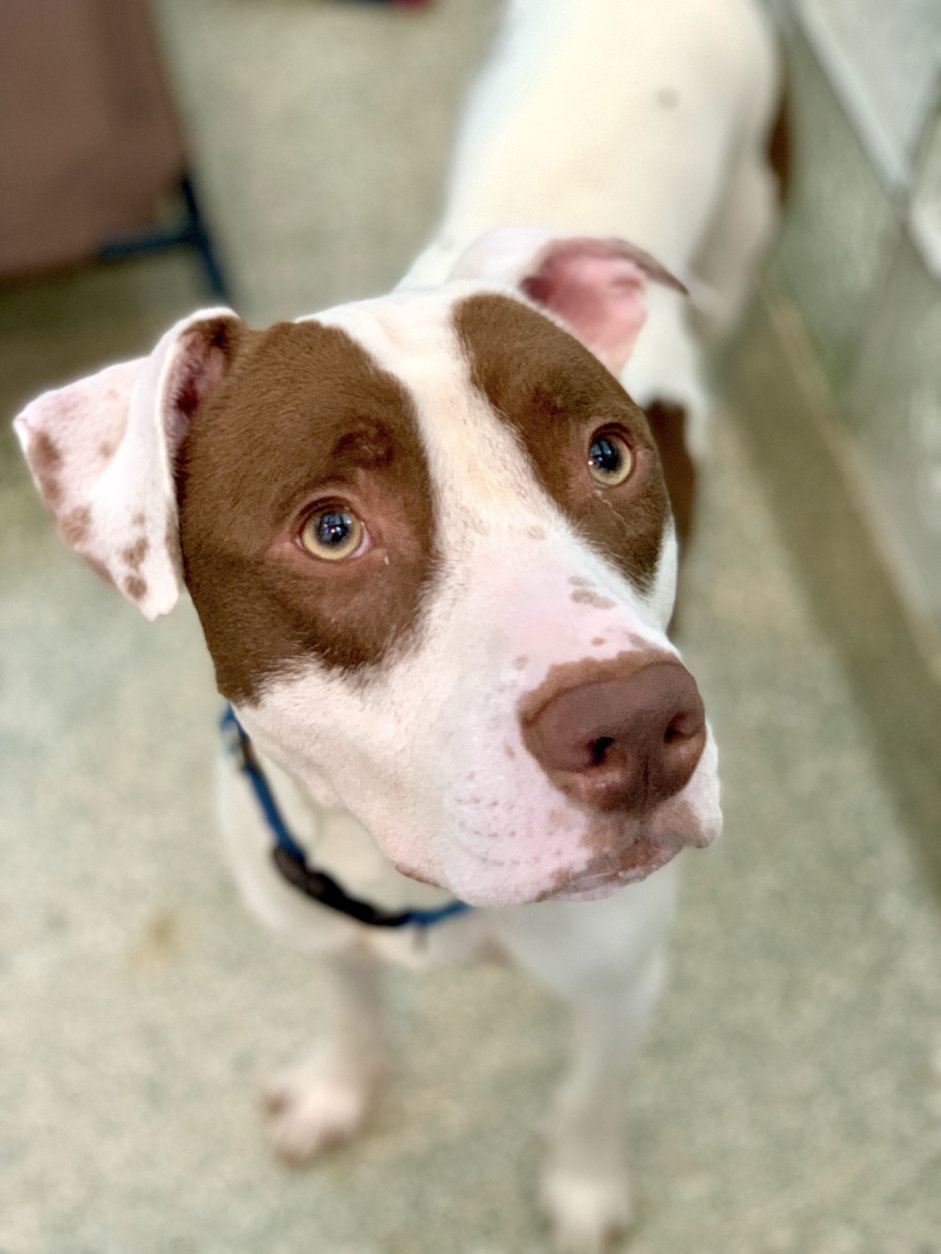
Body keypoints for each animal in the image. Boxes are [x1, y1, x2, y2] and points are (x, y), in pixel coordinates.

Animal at [14, 0, 779, 1247]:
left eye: (606, 454)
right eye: (330, 530)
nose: (639, 727)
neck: (409, 890)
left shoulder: (620, 981)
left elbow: (590, 1092)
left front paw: (583, 1185)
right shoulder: (318, 926)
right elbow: (351, 1010)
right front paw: (339, 1090)